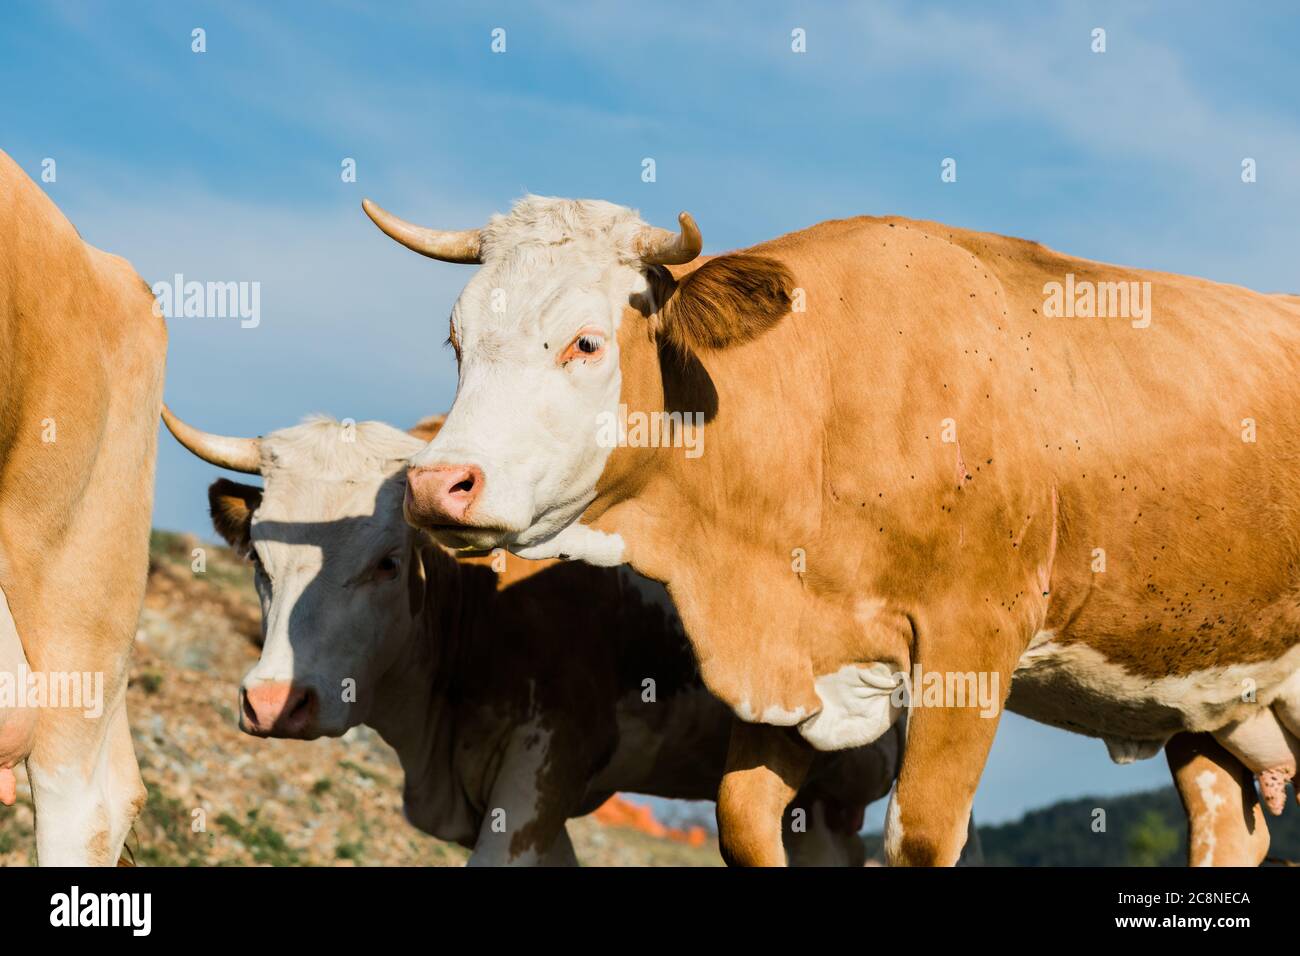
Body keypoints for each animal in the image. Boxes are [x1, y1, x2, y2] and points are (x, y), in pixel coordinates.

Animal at [364, 195, 1300, 868]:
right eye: (457, 341)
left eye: (586, 344)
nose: (438, 484)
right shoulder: (790, 650)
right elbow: (743, 819)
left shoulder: (973, 638)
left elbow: (920, 837)